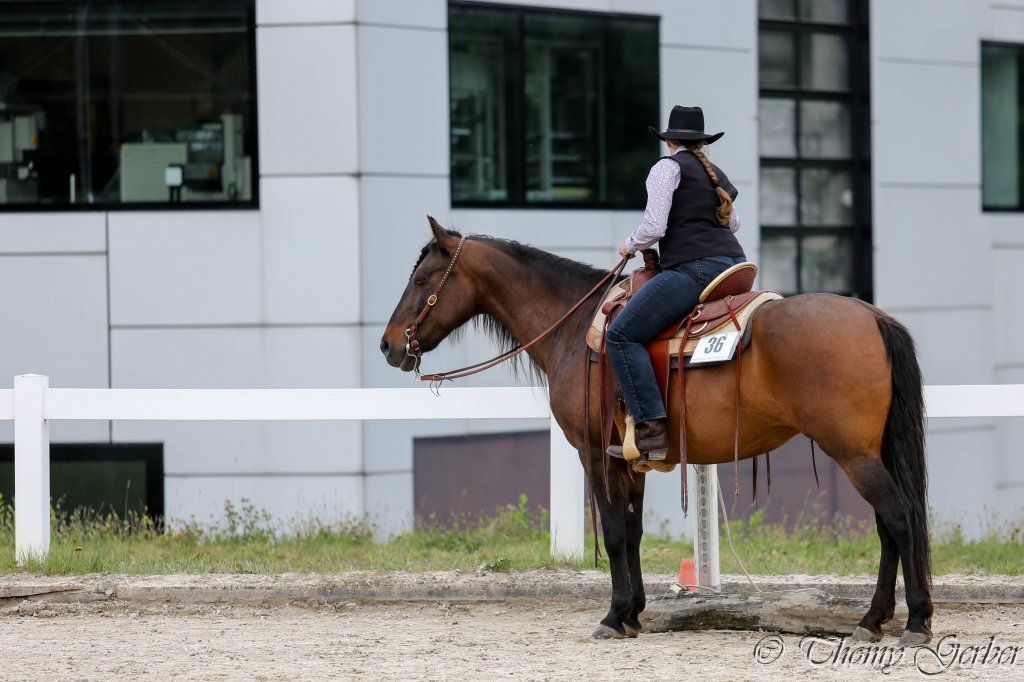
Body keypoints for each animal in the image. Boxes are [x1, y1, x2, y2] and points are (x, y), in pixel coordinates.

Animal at [380, 217, 933, 646]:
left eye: (423, 277)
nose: (388, 345)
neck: (574, 327)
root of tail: (872, 316)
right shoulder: (630, 457)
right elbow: (633, 531)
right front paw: (634, 612)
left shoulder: (593, 454)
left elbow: (613, 532)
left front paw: (613, 616)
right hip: (871, 451)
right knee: (889, 524)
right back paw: (874, 620)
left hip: (853, 453)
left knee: (899, 518)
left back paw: (914, 622)